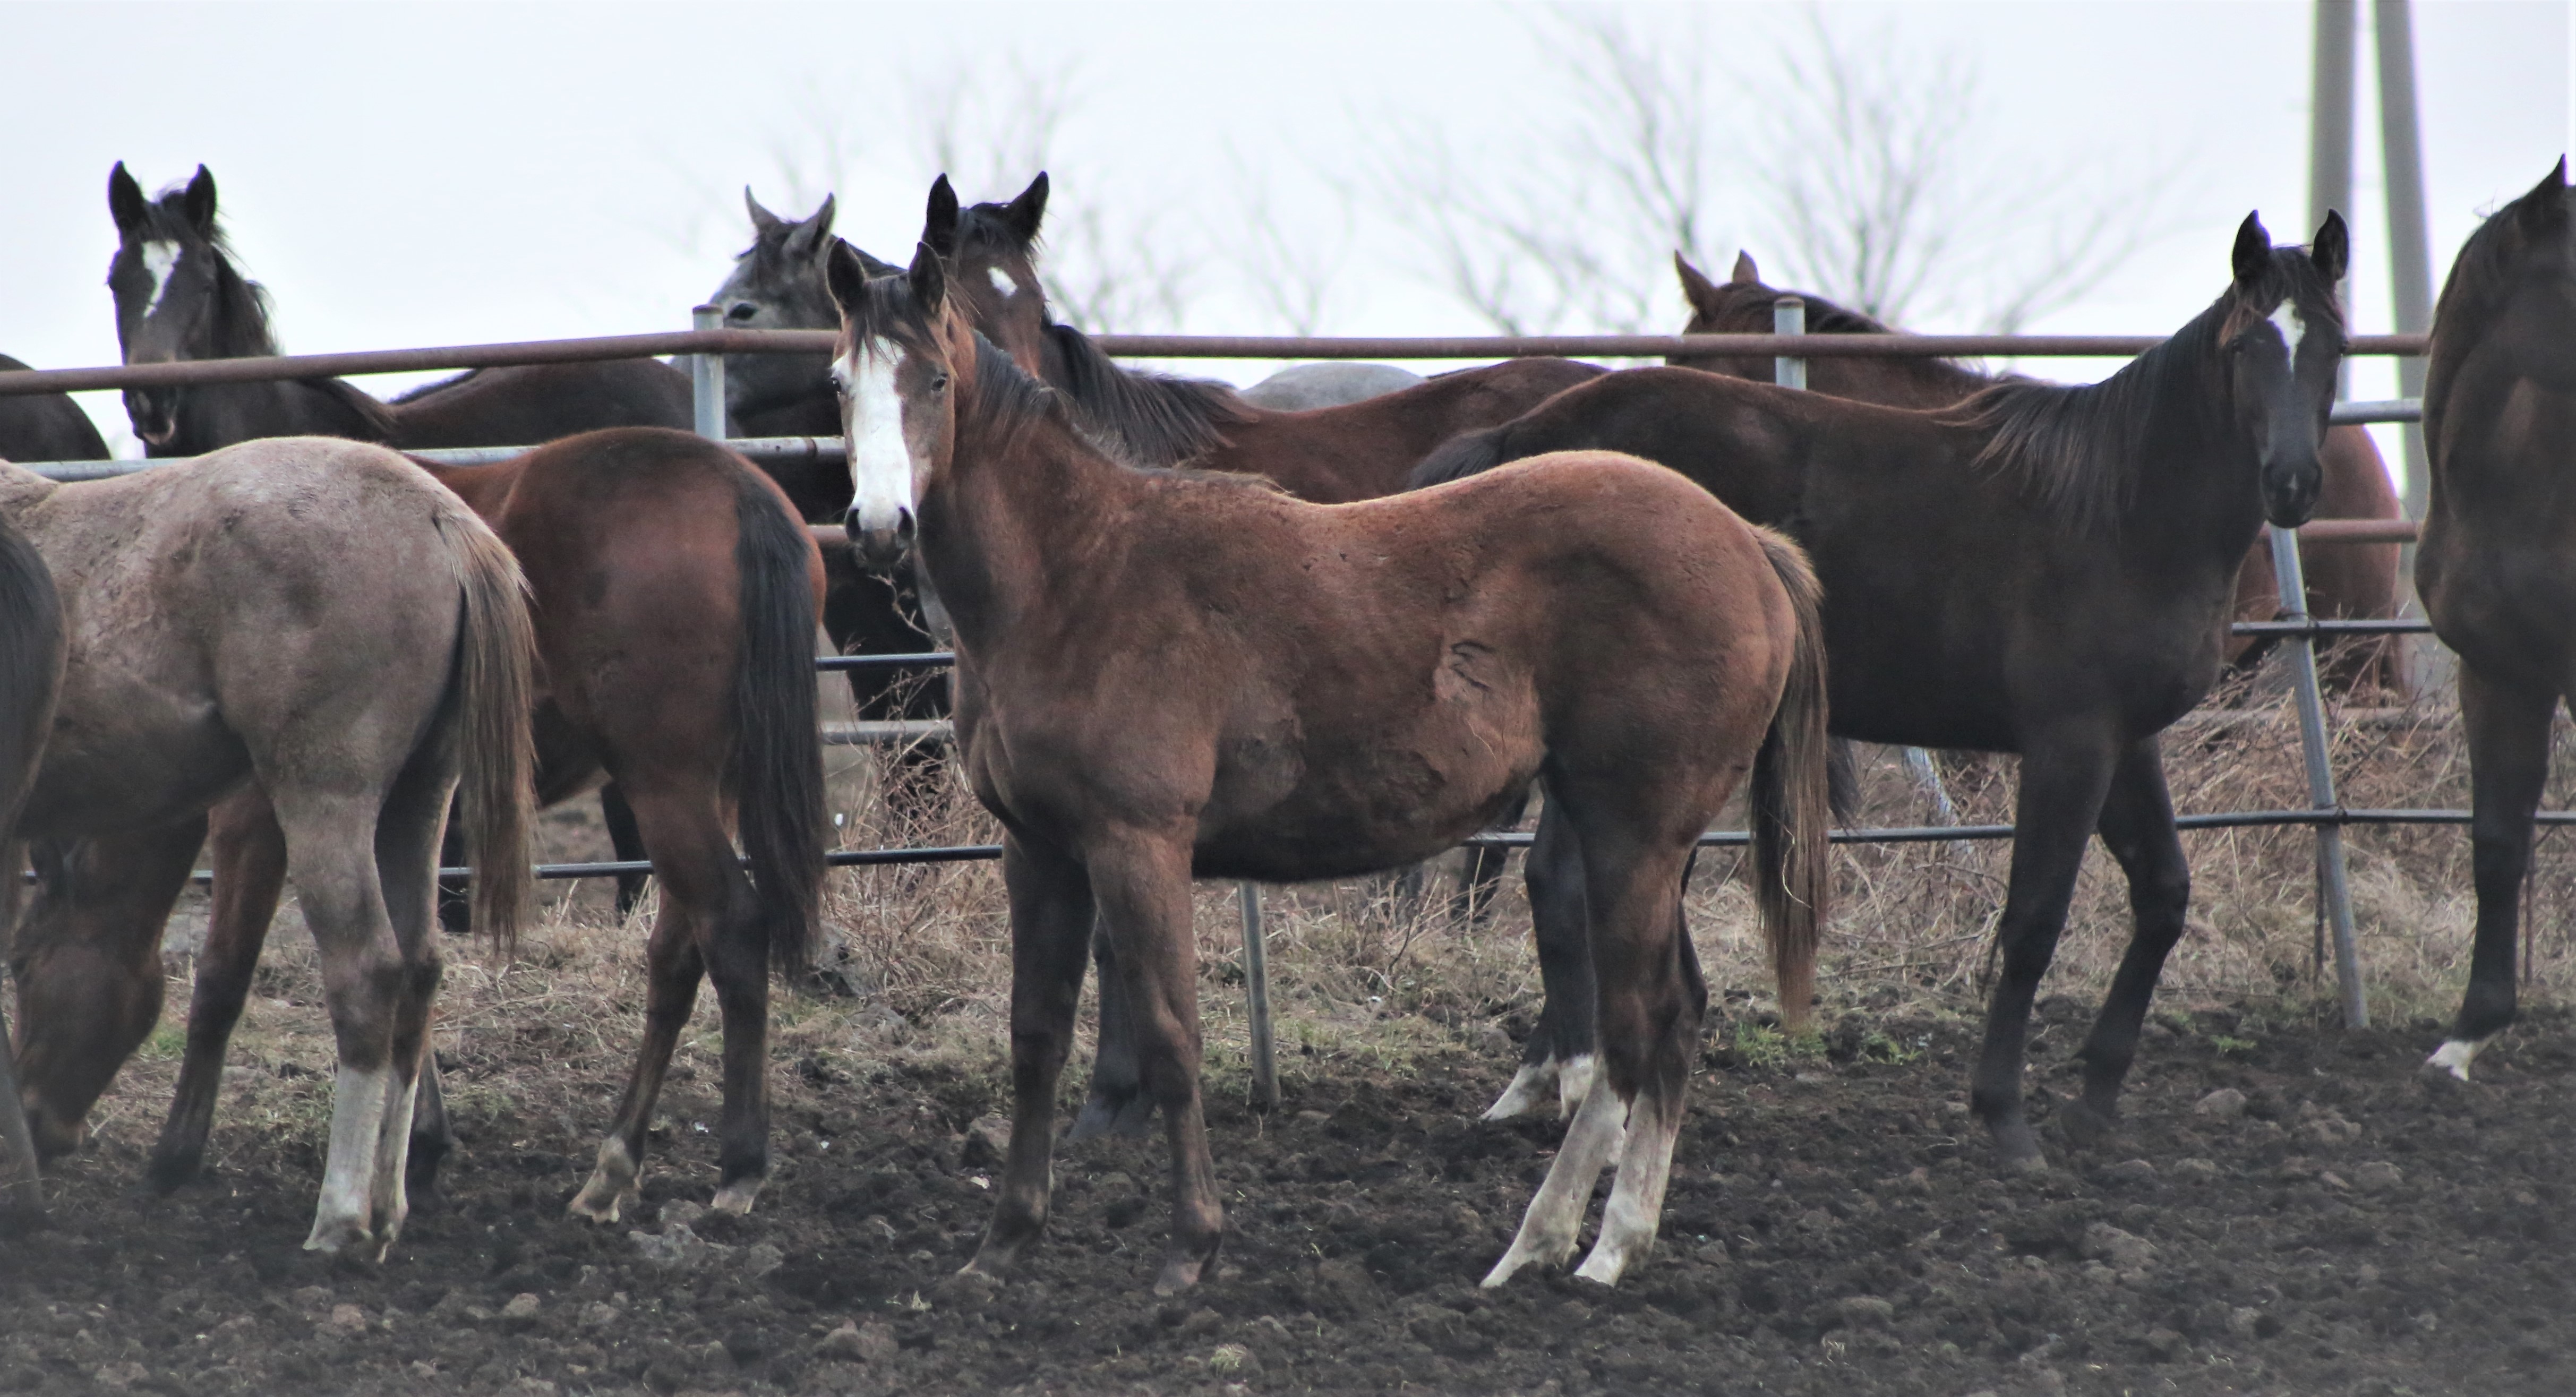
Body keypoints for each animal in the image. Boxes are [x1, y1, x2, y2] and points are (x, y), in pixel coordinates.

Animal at [5, 441, 536, 1257]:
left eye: (28, 968)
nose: (40, 1120)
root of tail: (436, 514)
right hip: (417, 803)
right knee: (418, 972)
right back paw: (387, 1204)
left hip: (324, 802)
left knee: (368, 974)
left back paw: (341, 1219)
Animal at [824, 236, 1834, 1299]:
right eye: (842, 382)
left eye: (935, 380)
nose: (880, 527)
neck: (1078, 577)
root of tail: (1747, 544)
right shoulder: (1041, 851)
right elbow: (1035, 1035)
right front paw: (1003, 1244)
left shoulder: (1138, 845)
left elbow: (1172, 1038)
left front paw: (1188, 1252)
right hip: (1644, 841)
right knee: (1677, 1016)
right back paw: (1616, 1239)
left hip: (1632, 834)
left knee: (1635, 1026)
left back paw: (1555, 1243)